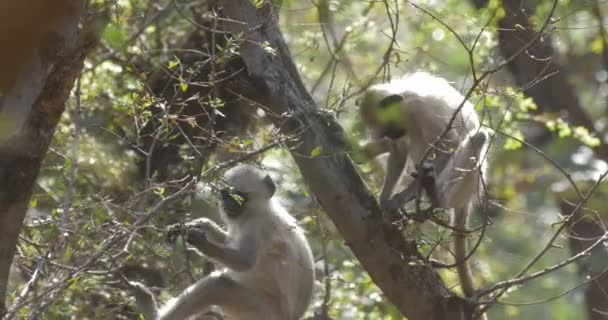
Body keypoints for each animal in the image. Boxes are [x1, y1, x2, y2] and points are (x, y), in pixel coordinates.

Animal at [132, 165, 314, 320]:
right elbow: (228, 241)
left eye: (240, 196)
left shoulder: (257, 225)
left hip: (261, 311)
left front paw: (201, 242)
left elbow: (244, 262)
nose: (228, 204)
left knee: (216, 286)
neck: (254, 212)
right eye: (225, 194)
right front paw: (200, 225)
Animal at [360, 72, 490, 302]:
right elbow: (399, 152)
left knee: (478, 137)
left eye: (391, 127)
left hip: (469, 180)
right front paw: (385, 200)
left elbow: (447, 147)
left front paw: (400, 199)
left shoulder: (421, 110)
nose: (393, 135)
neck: (404, 96)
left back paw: (436, 196)